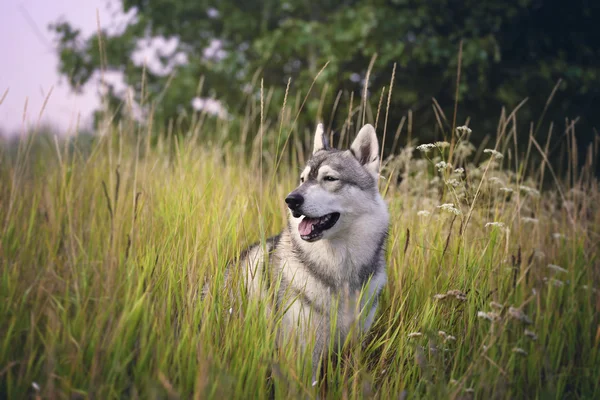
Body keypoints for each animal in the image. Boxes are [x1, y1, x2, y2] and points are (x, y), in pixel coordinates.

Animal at [230, 123, 390, 380]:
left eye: (330, 178)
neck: (339, 270)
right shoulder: (303, 354)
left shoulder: (352, 346)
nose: (291, 200)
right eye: (303, 179)